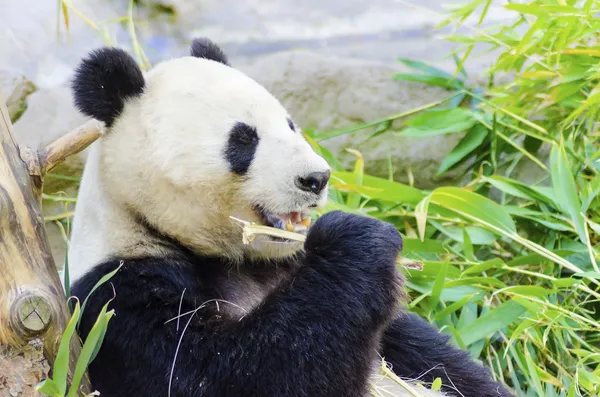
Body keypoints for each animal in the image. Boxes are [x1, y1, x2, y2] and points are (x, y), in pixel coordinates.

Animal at [67, 38, 516, 396]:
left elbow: (428, 355)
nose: (316, 178)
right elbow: (232, 375)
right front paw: (358, 240)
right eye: (243, 139)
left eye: (290, 125)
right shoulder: (119, 299)